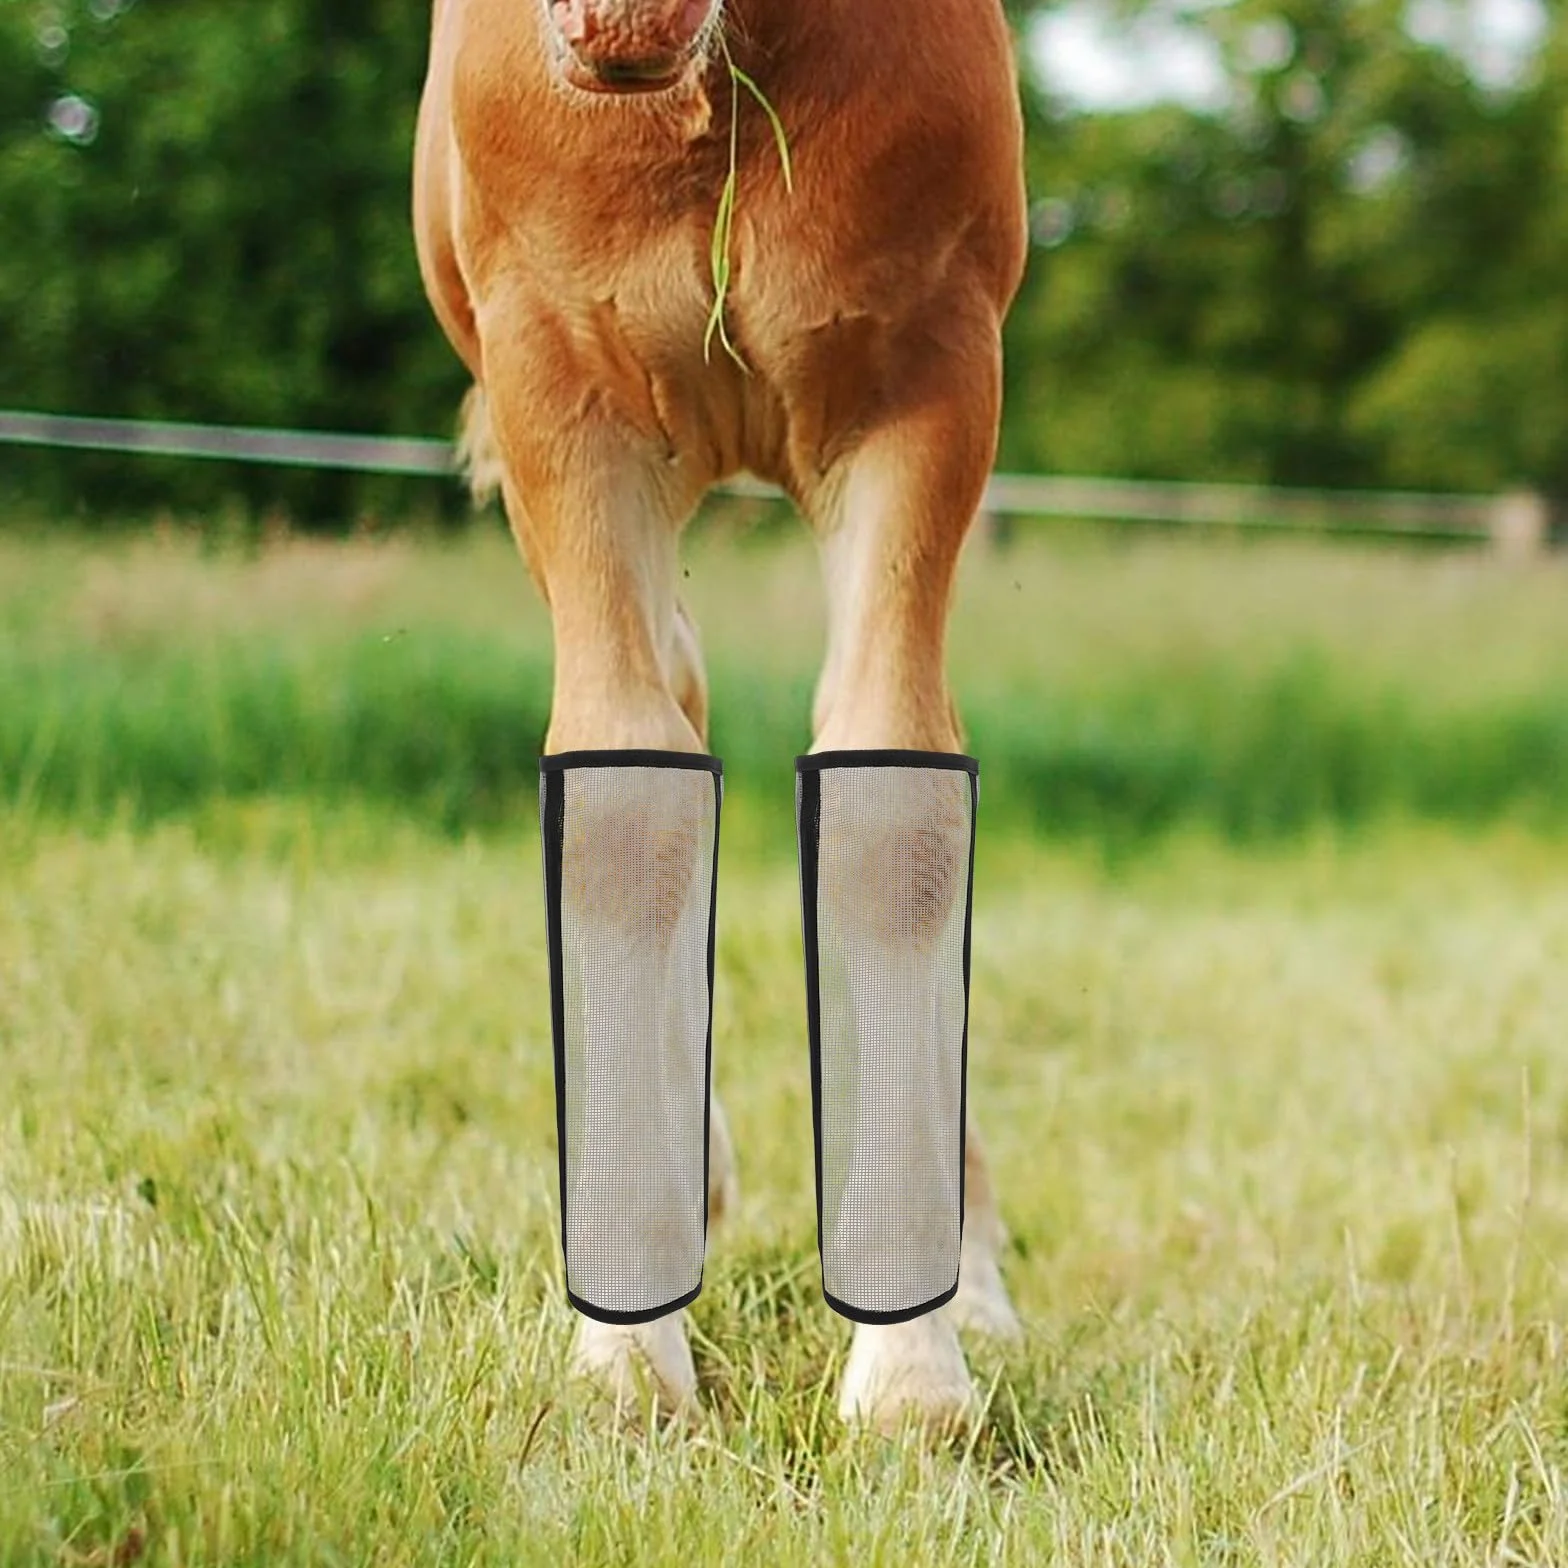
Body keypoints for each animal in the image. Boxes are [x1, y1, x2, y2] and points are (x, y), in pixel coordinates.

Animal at [412, 0, 1029, 1433]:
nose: (617, 21)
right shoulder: (556, 396)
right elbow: (624, 812)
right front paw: (626, 1355)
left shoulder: (922, 384)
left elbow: (896, 816)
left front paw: (912, 1373)